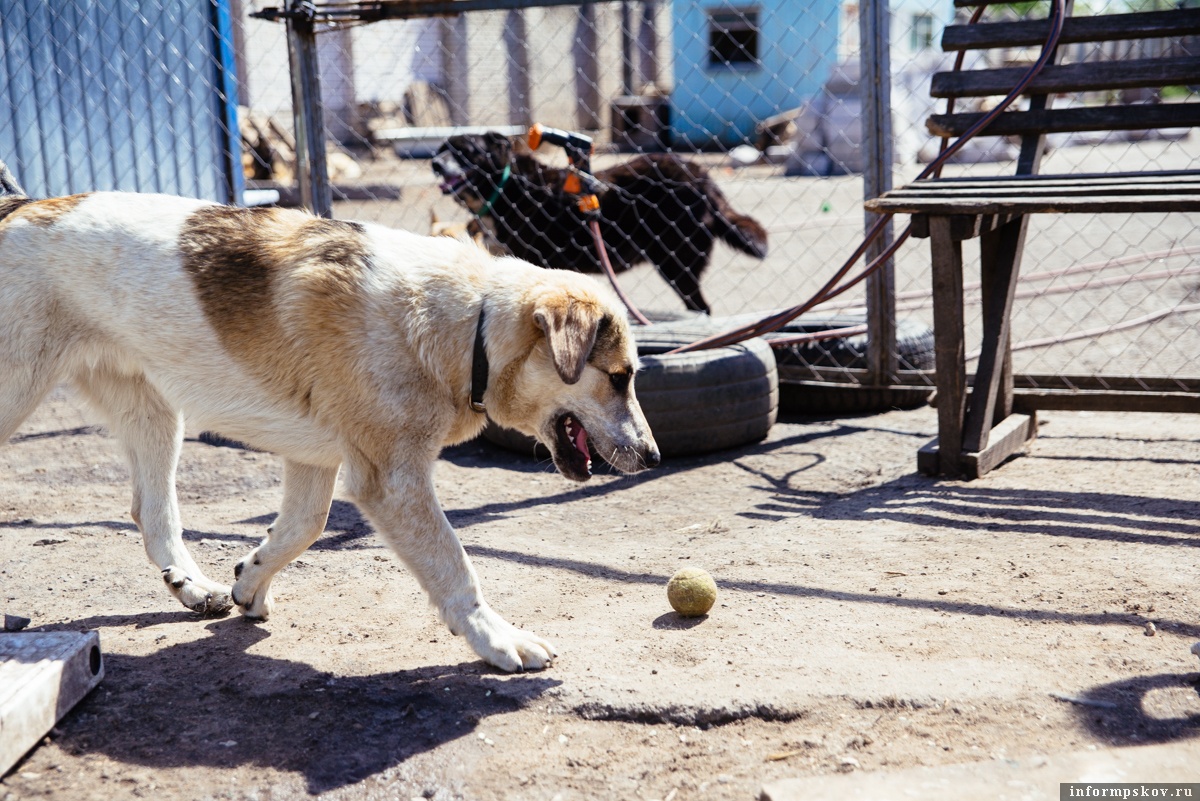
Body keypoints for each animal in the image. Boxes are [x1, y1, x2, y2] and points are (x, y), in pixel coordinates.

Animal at [0, 172, 657, 671]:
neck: (470, 320)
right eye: (620, 377)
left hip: (155, 412)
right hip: (22, 397)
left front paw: (248, 583)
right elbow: (455, 566)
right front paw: (497, 640)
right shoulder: (392, 481)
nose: (653, 458)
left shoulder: (316, 461)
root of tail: (21, 206)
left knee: (151, 511)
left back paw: (192, 587)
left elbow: (302, 529)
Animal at [432, 130, 768, 311]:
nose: (434, 163)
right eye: (441, 149)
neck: (507, 187)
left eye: (464, 152)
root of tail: (701, 177)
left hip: (676, 264)